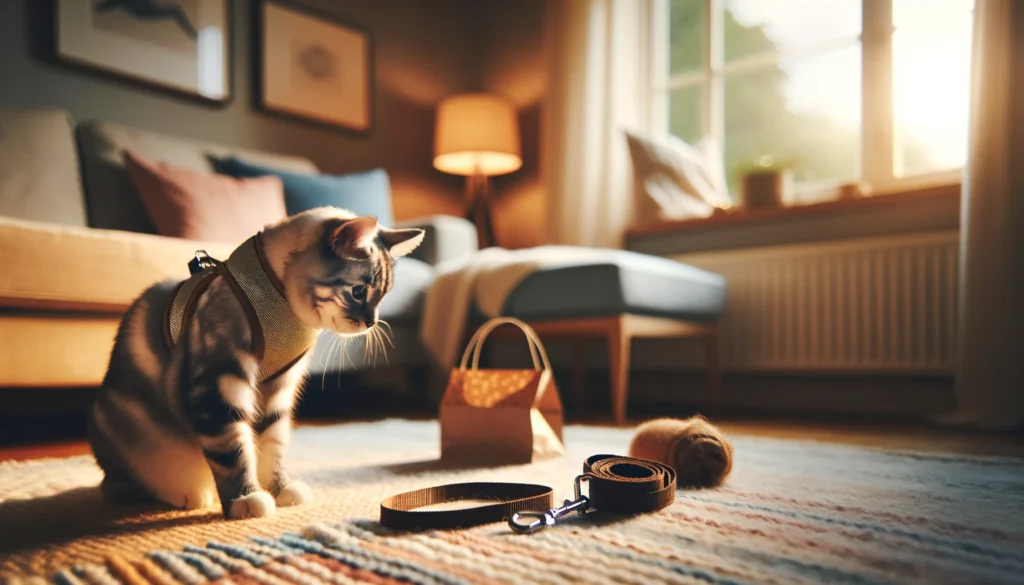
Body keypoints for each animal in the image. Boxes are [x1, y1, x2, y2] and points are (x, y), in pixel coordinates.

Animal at [89, 207, 423, 520]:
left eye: (383, 296)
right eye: (358, 291)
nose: (372, 322)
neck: (282, 306)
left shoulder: (277, 388)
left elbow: (270, 447)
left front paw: (279, 489)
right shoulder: (218, 385)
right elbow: (232, 450)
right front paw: (245, 499)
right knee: (119, 485)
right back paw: (187, 494)